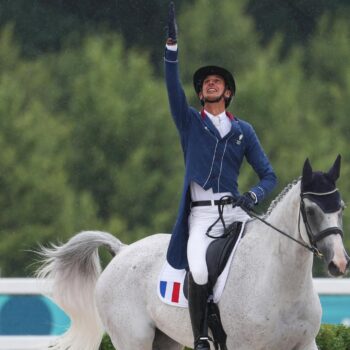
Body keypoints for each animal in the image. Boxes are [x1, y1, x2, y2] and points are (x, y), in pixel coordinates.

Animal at [37, 157, 348, 348]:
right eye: (311, 211)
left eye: (341, 207)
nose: (339, 263)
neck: (280, 281)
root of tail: (123, 251)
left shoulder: (305, 344)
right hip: (133, 339)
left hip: (166, 340)